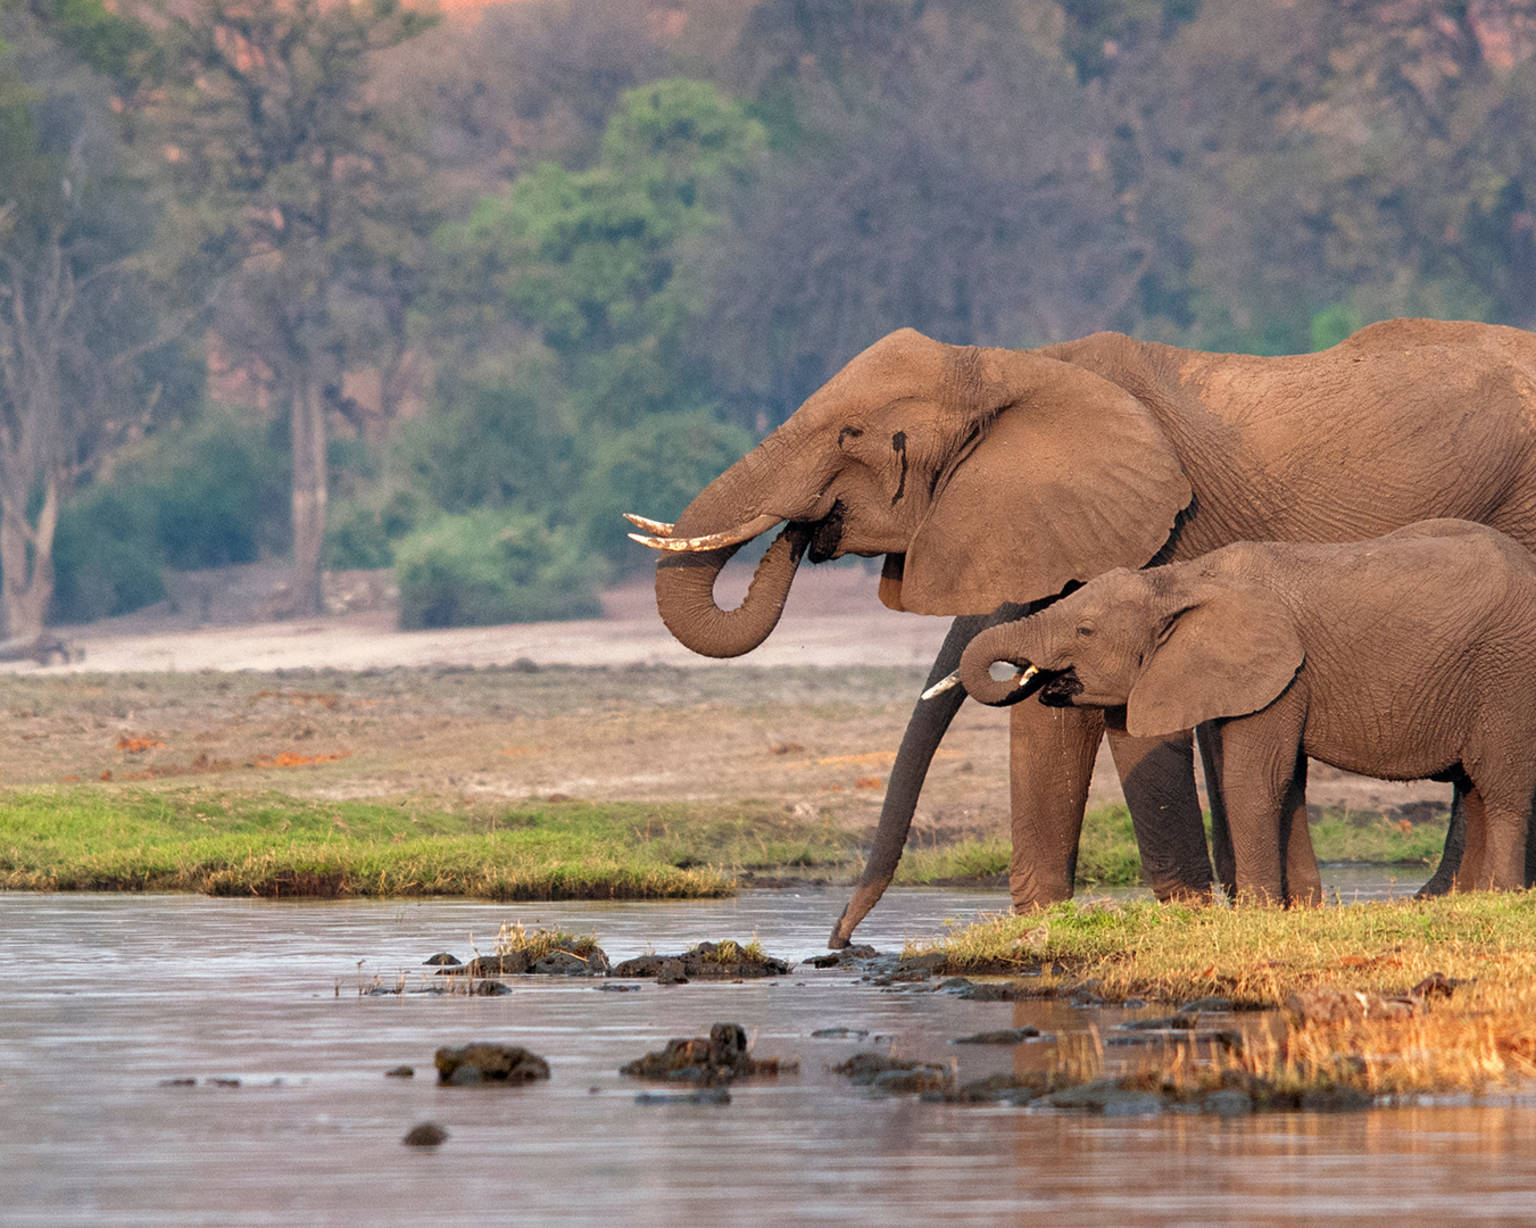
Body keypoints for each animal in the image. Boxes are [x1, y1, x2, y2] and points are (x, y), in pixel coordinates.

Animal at [953, 519, 1536, 900]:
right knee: (1475, 787)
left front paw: (1259, 910)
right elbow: (1284, 780)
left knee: (1500, 784)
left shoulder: (1283, 671)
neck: (1183, 579)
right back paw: (1470, 900)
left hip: (1508, 674)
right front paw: (1300, 907)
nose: (1043, 680)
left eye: (1084, 630)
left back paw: (1500, 896)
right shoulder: (1238, 676)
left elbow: (1252, 778)